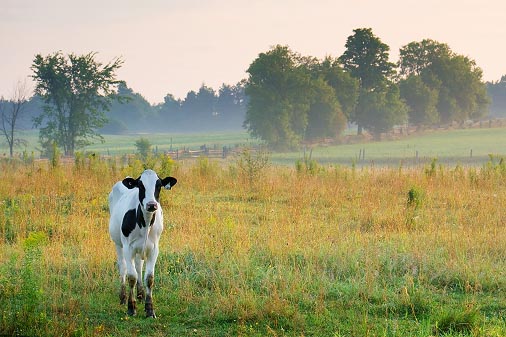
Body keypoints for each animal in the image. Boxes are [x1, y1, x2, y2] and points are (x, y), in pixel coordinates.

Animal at [107, 169, 177, 316]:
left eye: (159, 185)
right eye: (140, 185)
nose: (151, 205)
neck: (145, 223)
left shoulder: (154, 249)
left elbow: (149, 278)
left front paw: (149, 309)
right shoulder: (128, 248)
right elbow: (131, 276)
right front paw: (131, 307)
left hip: (140, 248)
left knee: (139, 266)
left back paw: (140, 295)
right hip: (118, 244)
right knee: (123, 268)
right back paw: (123, 297)